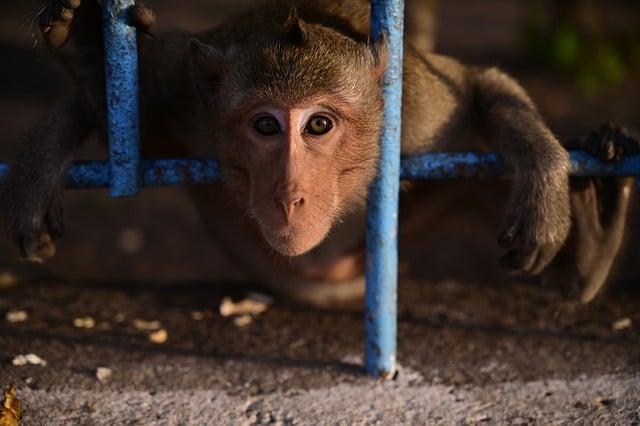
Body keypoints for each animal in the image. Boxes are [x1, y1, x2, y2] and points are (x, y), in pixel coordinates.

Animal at [2, 0, 636, 306]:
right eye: (265, 125)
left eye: (320, 124)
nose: (290, 195)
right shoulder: (186, 92)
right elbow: (119, 108)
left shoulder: (421, 109)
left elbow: (481, 84)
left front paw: (546, 185)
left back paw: (590, 242)